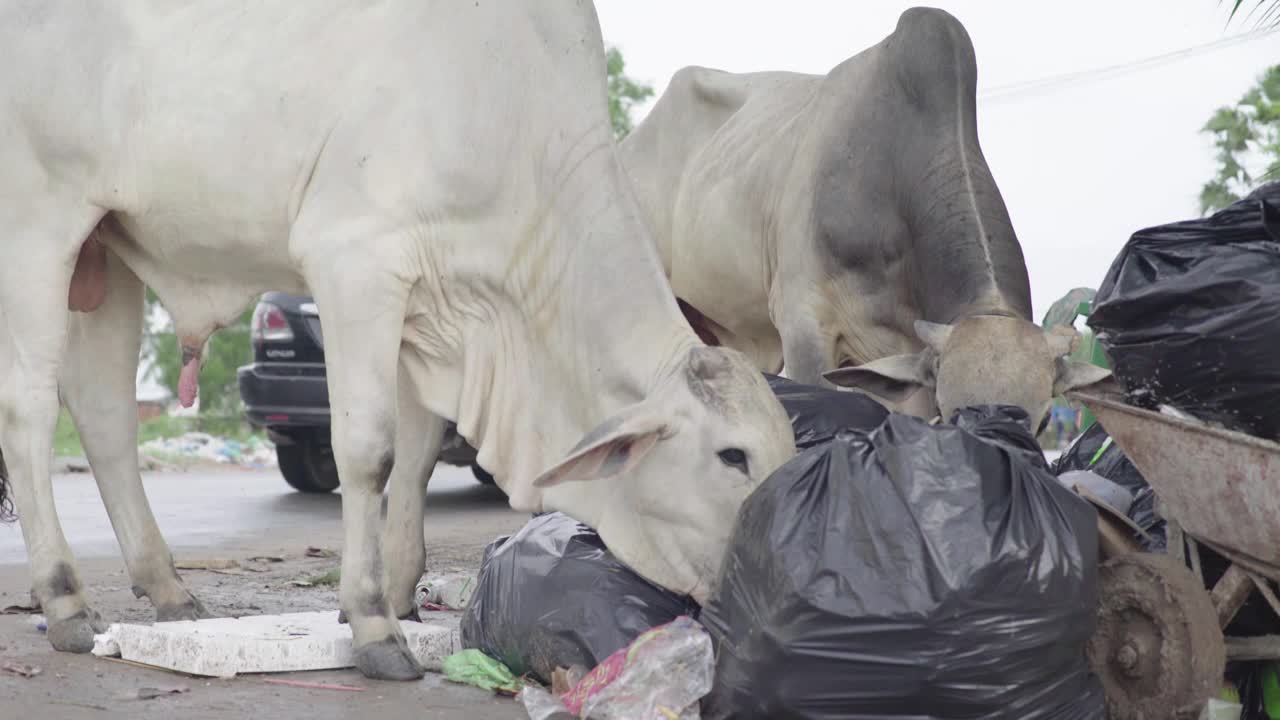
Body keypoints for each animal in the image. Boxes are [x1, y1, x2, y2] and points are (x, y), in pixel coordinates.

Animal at [0, 2, 793, 676]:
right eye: (733, 456)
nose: (764, 590)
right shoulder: (356, 262)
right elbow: (369, 451)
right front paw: (373, 624)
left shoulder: (428, 308)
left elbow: (415, 455)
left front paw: (401, 592)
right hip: (37, 229)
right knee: (30, 412)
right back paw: (65, 599)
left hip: (105, 251)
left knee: (105, 417)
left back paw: (165, 586)